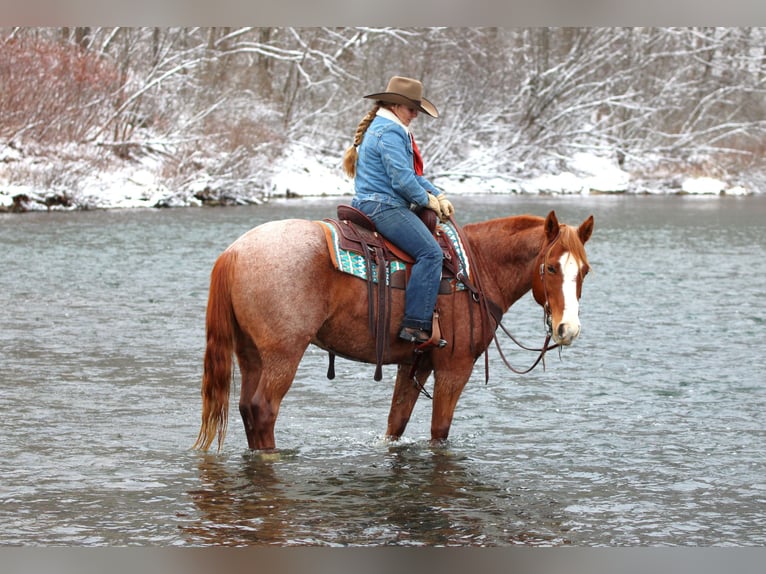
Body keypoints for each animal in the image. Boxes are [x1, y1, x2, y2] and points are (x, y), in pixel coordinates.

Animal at [193, 209, 594, 452]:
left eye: (585, 270)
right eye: (550, 268)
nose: (568, 329)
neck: (477, 268)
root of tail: (235, 251)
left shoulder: (415, 363)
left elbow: (395, 424)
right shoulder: (454, 368)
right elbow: (439, 432)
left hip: (251, 354)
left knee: (246, 408)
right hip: (283, 353)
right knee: (262, 409)